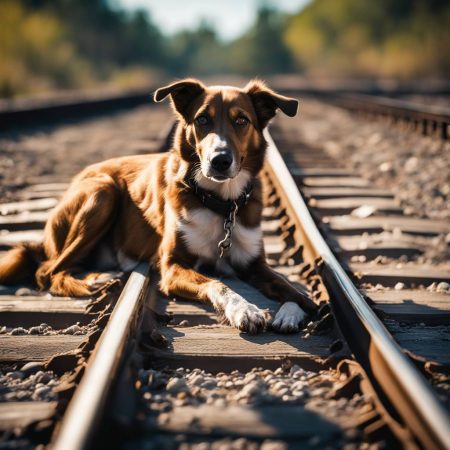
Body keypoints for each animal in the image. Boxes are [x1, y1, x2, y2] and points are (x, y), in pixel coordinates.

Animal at [0, 79, 316, 334]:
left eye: (242, 121)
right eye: (202, 119)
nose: (220, 160)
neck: (221, 204)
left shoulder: (254, 264)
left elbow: (295, 291)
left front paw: (292, 312)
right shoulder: (172, 266)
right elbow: (218, 284)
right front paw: (246, 310)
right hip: (102, 191)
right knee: (48, 271)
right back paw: (92, 282)